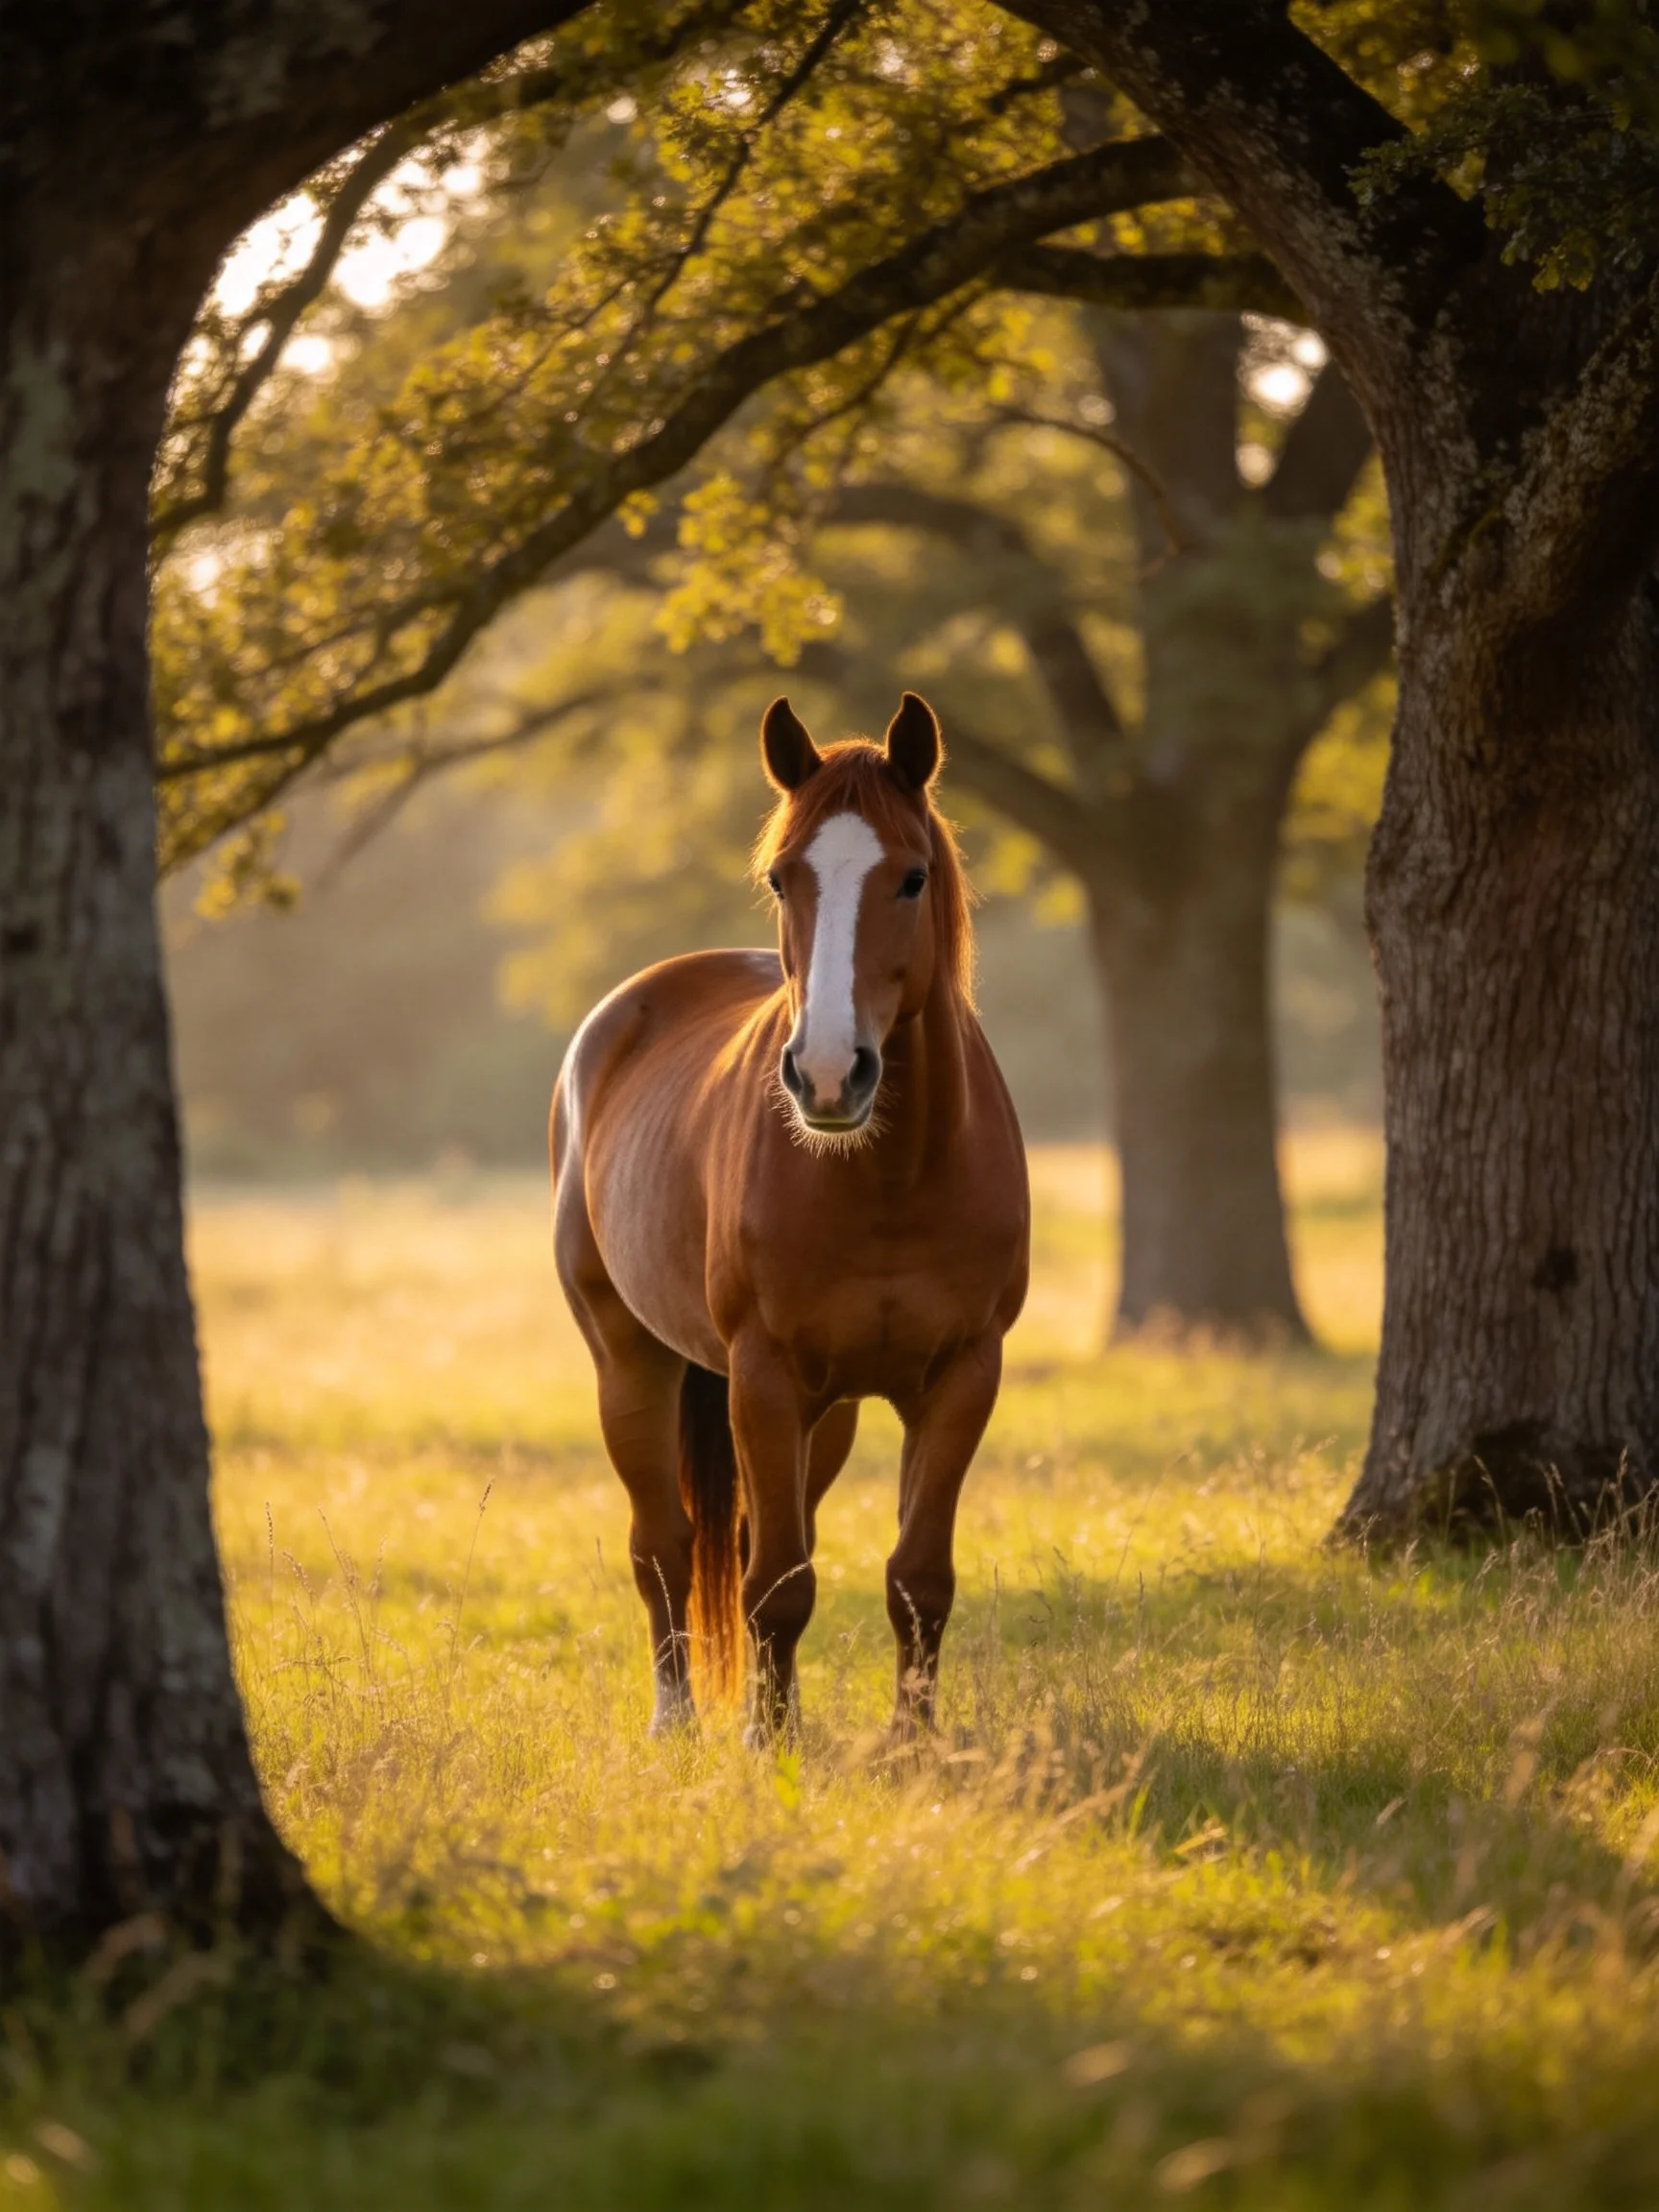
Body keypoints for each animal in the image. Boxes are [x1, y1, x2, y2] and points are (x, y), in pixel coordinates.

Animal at [551, 691, 1030, 1740]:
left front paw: (913, 1744)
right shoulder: (762, 1379)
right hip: (629, 1361)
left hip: (832, 1410)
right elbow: (772, 1583)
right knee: (666, 1544)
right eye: (781, 878)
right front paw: (768, 1746)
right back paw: (680, 1721)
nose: (827, 1074)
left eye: (911, 877)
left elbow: (915, 1577)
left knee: (766, 1535)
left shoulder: (962, 1377)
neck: (889, 1177)